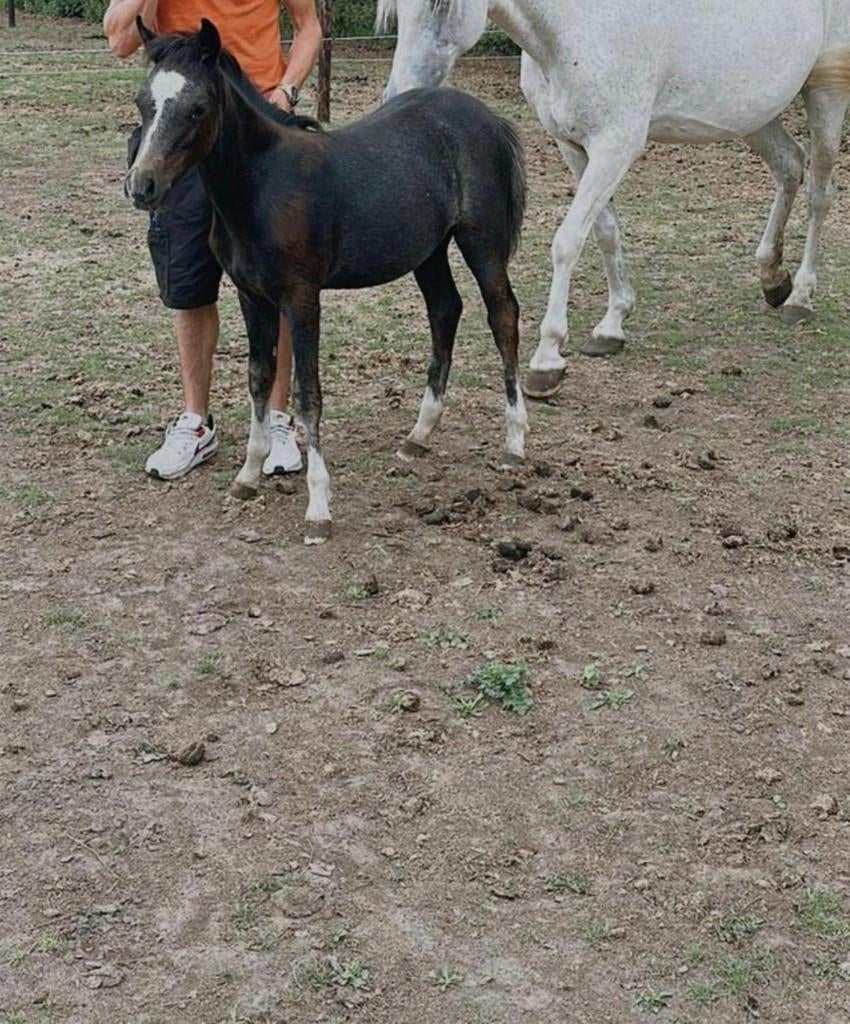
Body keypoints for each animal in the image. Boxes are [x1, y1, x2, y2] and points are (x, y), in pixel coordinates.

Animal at [126, 18, 528, 544]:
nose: (142, 186)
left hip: (482, 241)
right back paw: (419, 436)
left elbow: (307, 393)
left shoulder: (301, 298)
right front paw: (247, 477)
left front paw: (318, 508)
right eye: (143, 102)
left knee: (503, 315)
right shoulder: (252, 297)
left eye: (197, 108)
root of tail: (491, 118)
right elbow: (259, 378)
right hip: (428, 250)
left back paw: (515, 442)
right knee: (445, 310)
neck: (260, 186)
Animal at [378, 0, 850, 398]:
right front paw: (612, 326)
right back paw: (773, 278)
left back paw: (800, 297)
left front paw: (547, 360)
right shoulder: (572, 145)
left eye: (442, 4)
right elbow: (605, 231)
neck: (573, 28)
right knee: (789, 166)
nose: (400, 96)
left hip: (825, 94)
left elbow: (568, 242)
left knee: (819, 192)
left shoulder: (615, 146)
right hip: (753, 114)